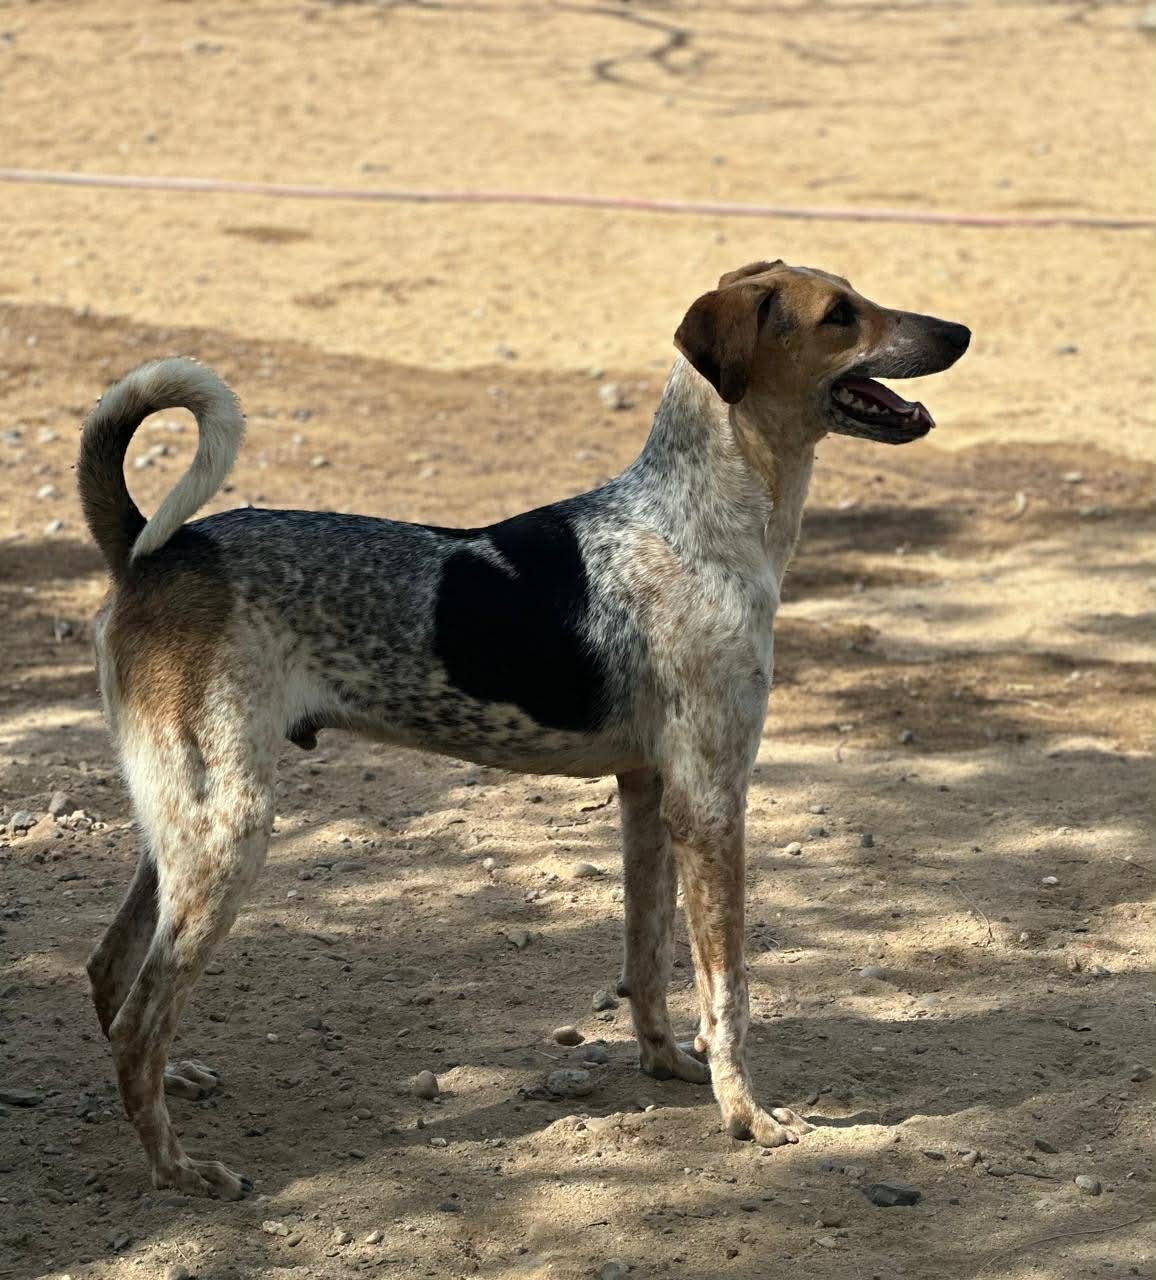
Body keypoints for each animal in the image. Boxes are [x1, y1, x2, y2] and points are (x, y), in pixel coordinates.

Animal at [80, 260, 969, 1198]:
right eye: (840, 315)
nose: (961, 333)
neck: (695, 522)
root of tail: (145, 548)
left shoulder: (650, 795)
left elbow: (649, 961)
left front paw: (666, 1067)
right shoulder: (712, 803)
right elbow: (728, 993)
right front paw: (746, 1115)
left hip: (183, 824)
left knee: (112, 972)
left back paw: (174, 1084)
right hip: (228, 829)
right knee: (139, 1013)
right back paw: (179, 1169)